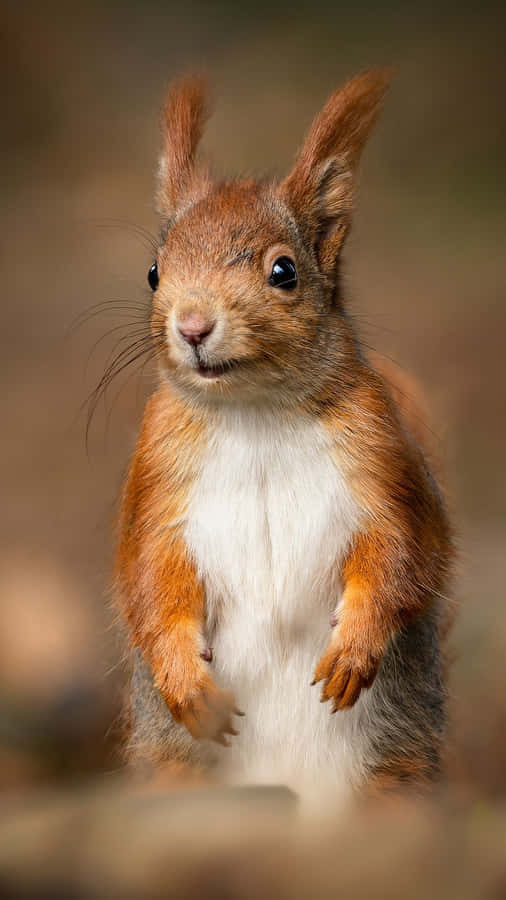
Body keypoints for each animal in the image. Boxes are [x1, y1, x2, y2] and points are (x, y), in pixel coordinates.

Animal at [115, 69, 455, 799]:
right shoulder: (158, 475)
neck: (255, 413)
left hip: (394, 780)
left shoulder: (380, 453)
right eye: (154, 272)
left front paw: (355, 649)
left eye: (284, 272)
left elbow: (402, 552)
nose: (192, 325)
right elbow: (150, 577)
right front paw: (185, 681)